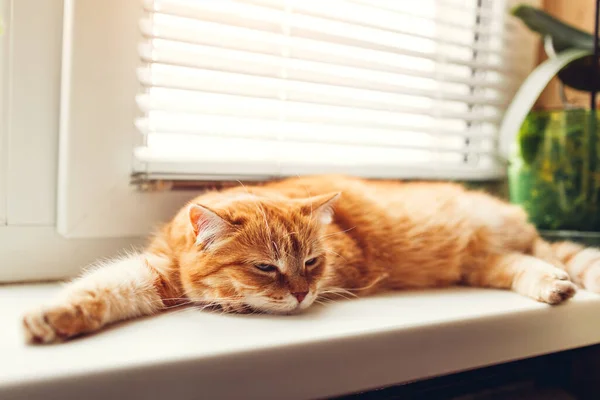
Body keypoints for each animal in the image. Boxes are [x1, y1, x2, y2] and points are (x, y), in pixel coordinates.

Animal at [23, 175, 600, 344]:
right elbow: (107, 286)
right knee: (523, 263)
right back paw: (554, 284)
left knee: (540, 257)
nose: (301, 295)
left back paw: (557, 282)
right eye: (265, 267)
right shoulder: (157, 270)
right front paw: (54, 315)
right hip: (485, 262)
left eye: (312, 264)